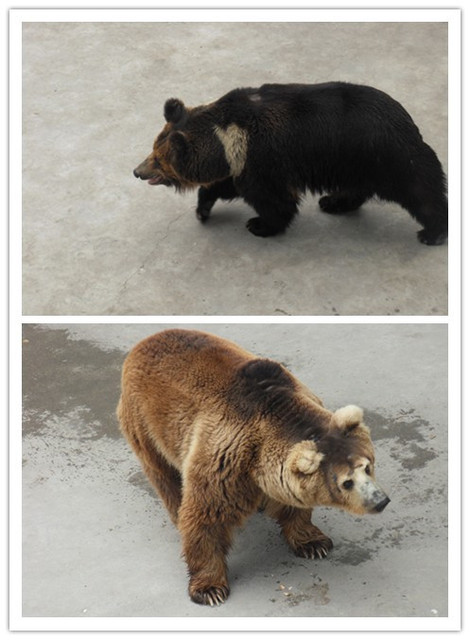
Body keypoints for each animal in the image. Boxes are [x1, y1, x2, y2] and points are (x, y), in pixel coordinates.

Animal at [117, 330, 390, 604]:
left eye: (367, 467)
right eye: (347, 482)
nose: (381, 501)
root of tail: (146, 341)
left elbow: (294, 506)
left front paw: (314, 543)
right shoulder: (225, 457)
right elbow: (206, 515)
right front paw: (210, 589)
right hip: (146, 423)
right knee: (164, 476)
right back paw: (176, 511)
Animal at [133, 82, 448, 245]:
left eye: (158, 160)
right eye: (152, 151)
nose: (137, 171)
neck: (223, 137)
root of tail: (405, 118)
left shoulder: (261, 158)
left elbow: (274, 199)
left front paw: (259, 224)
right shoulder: (238, 161)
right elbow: (225, 185)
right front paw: (203, 209)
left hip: (385, 154)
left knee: (420, 188)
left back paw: (432, 232)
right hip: (356, 162)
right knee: (357, 188)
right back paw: (332, 201)